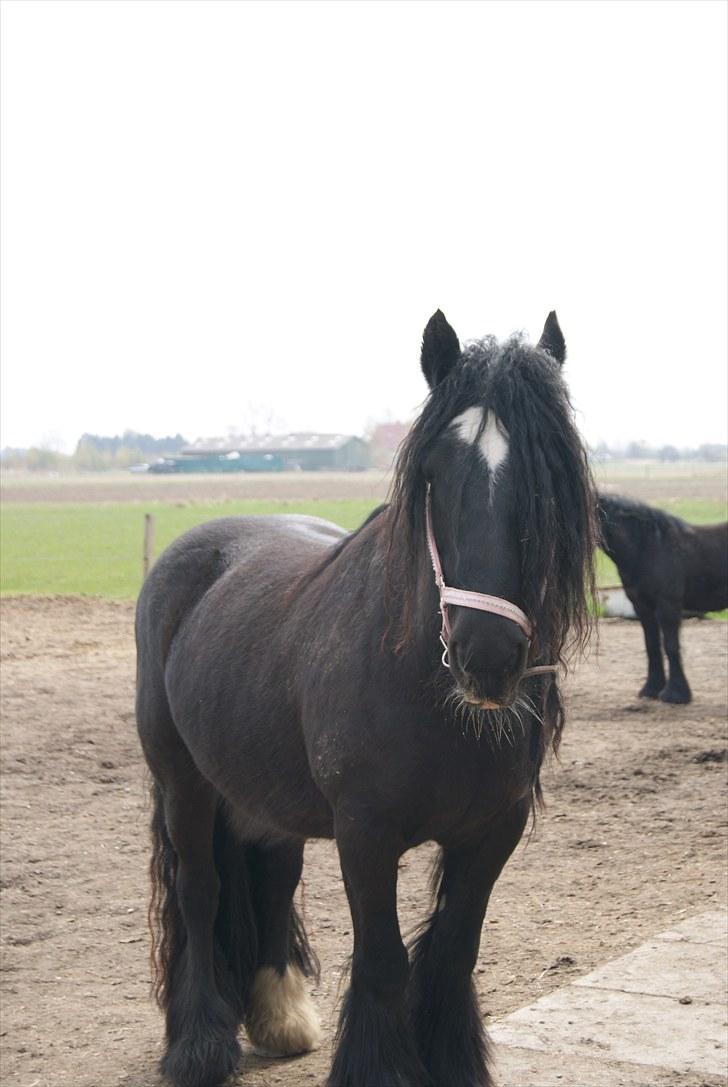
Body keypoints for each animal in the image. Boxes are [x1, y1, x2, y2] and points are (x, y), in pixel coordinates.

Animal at [135, 310, 599, 1082]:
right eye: (436, 474)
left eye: (549, 474)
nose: (487, 655)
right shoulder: (366, 833)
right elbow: (383, 962)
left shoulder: (492, 830)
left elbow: (452, 951)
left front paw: (451, 1061)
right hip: (183, 782)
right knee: (201, 891)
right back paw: (200, 1042)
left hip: (263, 795)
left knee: (274, 875)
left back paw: (281, 1015)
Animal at [599, 493, 725, 704]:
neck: (648, 547)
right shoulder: (642, 607)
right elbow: (652, 646)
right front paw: (651, 688)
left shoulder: (668, 605)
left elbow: (671, 646)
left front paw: (675, 694)